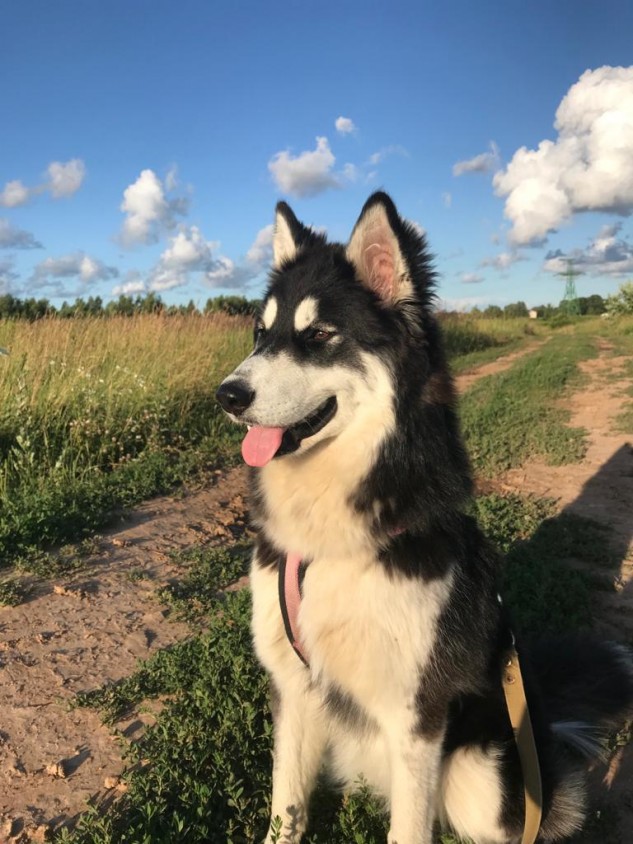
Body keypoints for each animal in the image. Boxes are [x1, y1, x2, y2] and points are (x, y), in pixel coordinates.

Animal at [216, 192, 633, 843]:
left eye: (320, 335)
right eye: (262, 333)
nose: (227, 395)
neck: (331, 542)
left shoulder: (418, 713)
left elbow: (406, 830)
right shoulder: (294, 688)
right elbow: (286, 809)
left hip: (479, 780)